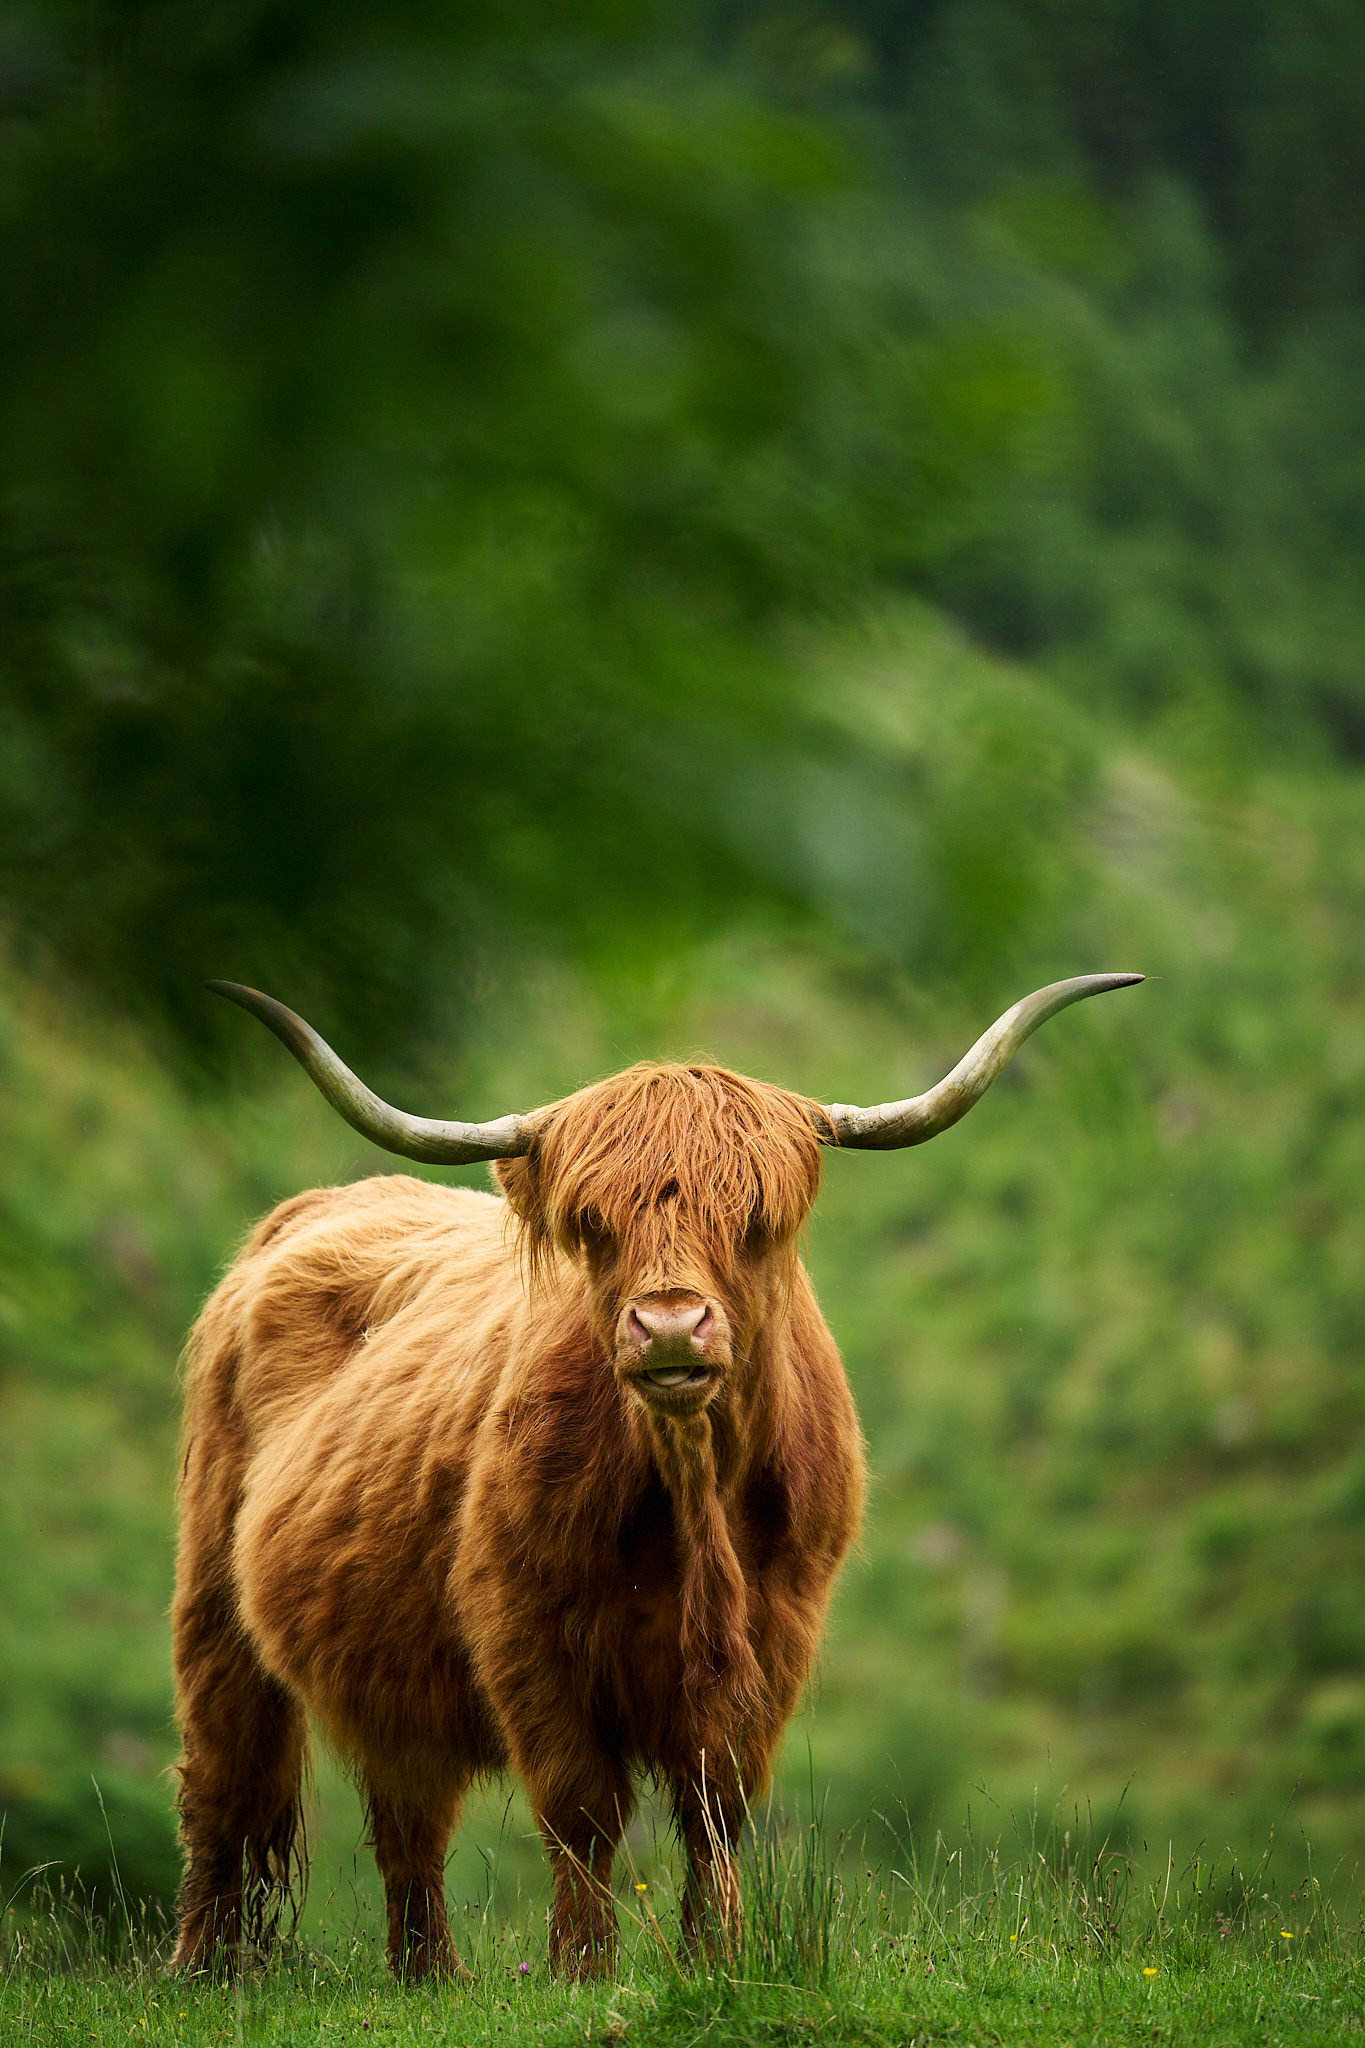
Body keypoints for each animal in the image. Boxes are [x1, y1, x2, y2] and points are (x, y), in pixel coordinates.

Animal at [170, 971, 1140, 1981]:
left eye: (753, 1223)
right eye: (594, 1226)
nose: (671, 1325)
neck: (690, 1495)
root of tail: (310, 1212)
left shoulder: (776, 1630)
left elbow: (716, 1805)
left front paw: (717, 1953)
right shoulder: (525, 1629)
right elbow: (581, 1809)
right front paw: (581, 1967)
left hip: (390, 1680)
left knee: (408, 1817)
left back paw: (427, 1977)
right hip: (212, 1609)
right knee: (226, 1782)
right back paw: (202, 1970)